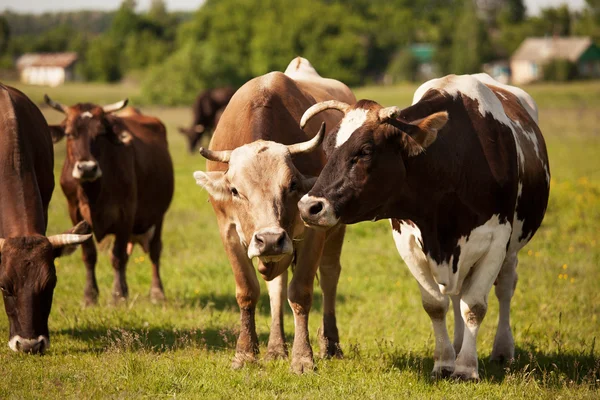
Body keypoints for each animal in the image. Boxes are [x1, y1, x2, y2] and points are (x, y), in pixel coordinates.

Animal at [43, 95, 175, 304]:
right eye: (70, 134)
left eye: (100, 134)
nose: (87, 168)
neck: (93, 193)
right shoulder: (75, 212)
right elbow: (89, 255)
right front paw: (90, 296)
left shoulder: (126, 214)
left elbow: (118, 256)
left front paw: (118, 296)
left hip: (158, 215)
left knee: (155, 250)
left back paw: (157, 292)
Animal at [193, 57, 356, 374]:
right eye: (234, 190)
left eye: (292, 185)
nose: (269, 239)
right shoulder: (228, 231)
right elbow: (248, 290)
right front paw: (246, 353)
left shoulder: (314, 233)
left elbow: (301, 293)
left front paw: (303, 357)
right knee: (276, 288)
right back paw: (276, 348)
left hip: (332, 234)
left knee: (329, 277)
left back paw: (330, 345)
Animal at [298, 73, 552, 380]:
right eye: (327, 148)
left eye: (366, 150)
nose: (309, 207)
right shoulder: (408, 242)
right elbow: (436, 305)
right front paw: (444, 362)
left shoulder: (495, 241)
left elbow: (475, 306)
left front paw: (466, 367)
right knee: (456, 293)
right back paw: (458, 345)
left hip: (511, 249)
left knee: (504, 288)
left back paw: (502, 350)